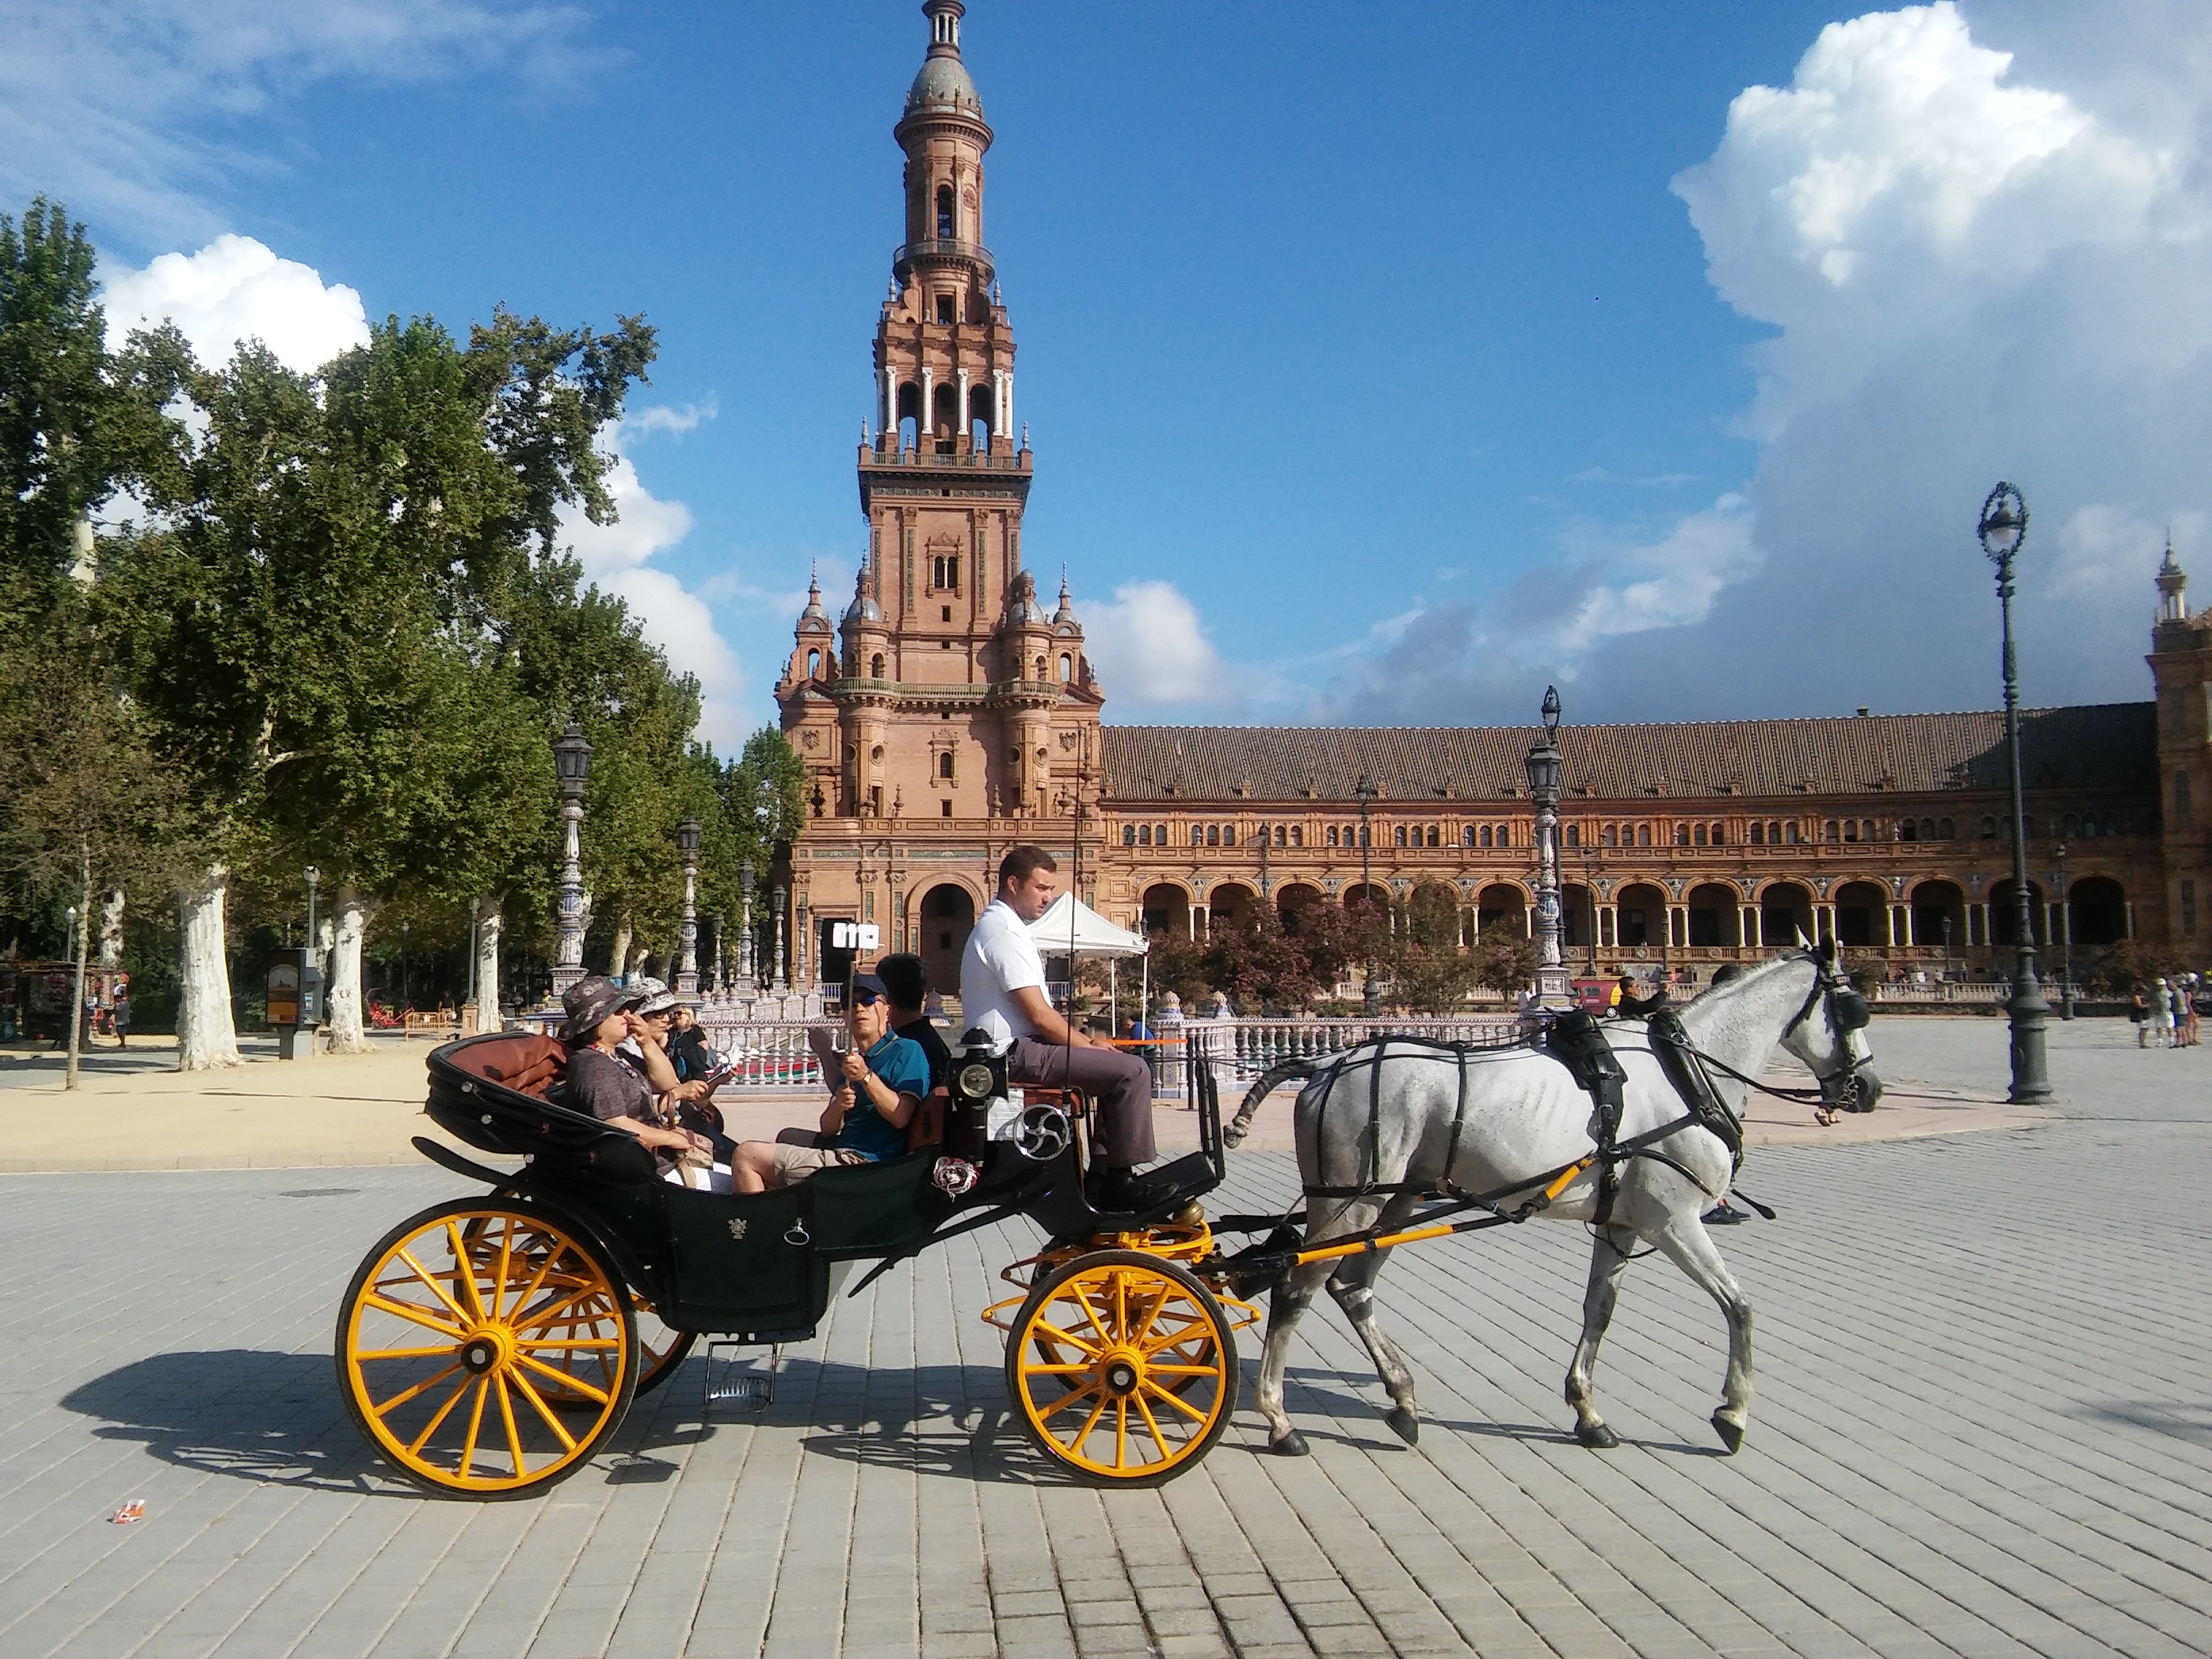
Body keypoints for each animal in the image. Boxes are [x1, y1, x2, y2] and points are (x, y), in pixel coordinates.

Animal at [1221, 945, 1878, 1457]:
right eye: (1852, 1010)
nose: (1867, 1088)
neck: (1685, 1071)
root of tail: (1324, 1063)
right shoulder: (1674, 1220)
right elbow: (1740, 1307)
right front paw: (1732, 1413)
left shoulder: (1622, 1223)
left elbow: (1599, 1310)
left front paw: (1588, 1412)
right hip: (1348, 1202)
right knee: (1295, 1290)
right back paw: (1280, 1421)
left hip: (1394, 1201)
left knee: (1350, 1287)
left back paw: (1403, 1401)